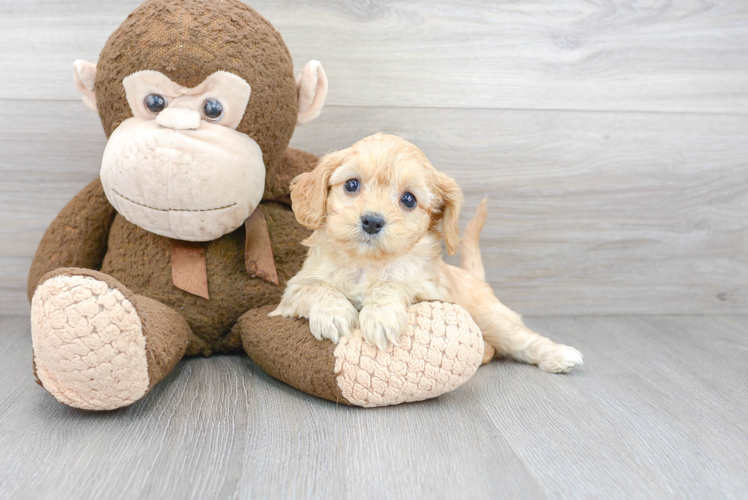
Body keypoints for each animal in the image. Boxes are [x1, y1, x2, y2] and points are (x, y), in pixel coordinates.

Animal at [272, 135, 580, 374]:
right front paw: (333, 314)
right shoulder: (292, 292)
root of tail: (475, 278)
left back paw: (560, 355)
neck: (368, 263)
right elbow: (318, 287)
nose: (372, 221)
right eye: (351, 184)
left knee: (520, 339)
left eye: (408, 199)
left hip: (490, 317)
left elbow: (392, 284)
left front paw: (380, 318)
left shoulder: (429, 292)